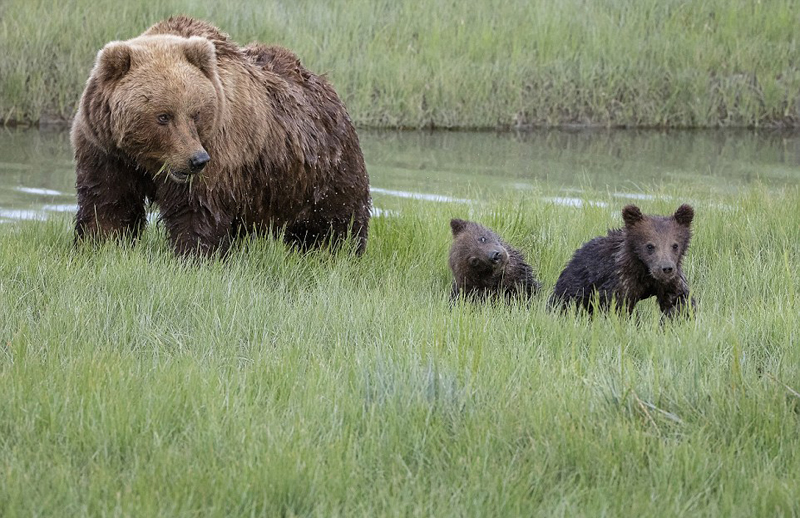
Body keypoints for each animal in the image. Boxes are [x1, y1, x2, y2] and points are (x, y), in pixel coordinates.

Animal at [71, 16, 370, 257]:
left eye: (195, 113)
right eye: (163, 116)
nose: (196, 160)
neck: (146, 160)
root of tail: (326, 85)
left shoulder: (220, 150)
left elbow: (196, 211)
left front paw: (193, 257)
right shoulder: (105, 150)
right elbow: (108, 203)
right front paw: (99, 245)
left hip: (323, 171)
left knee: (337, 219)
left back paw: (339, 251)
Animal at [549, 204, 696, 318]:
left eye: (675, 245)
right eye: (649, 246)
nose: (666, 268)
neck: (644, 269)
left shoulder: (670, 281)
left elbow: (678, 300)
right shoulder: (621, 278)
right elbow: (617, 305)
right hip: (576, 284)